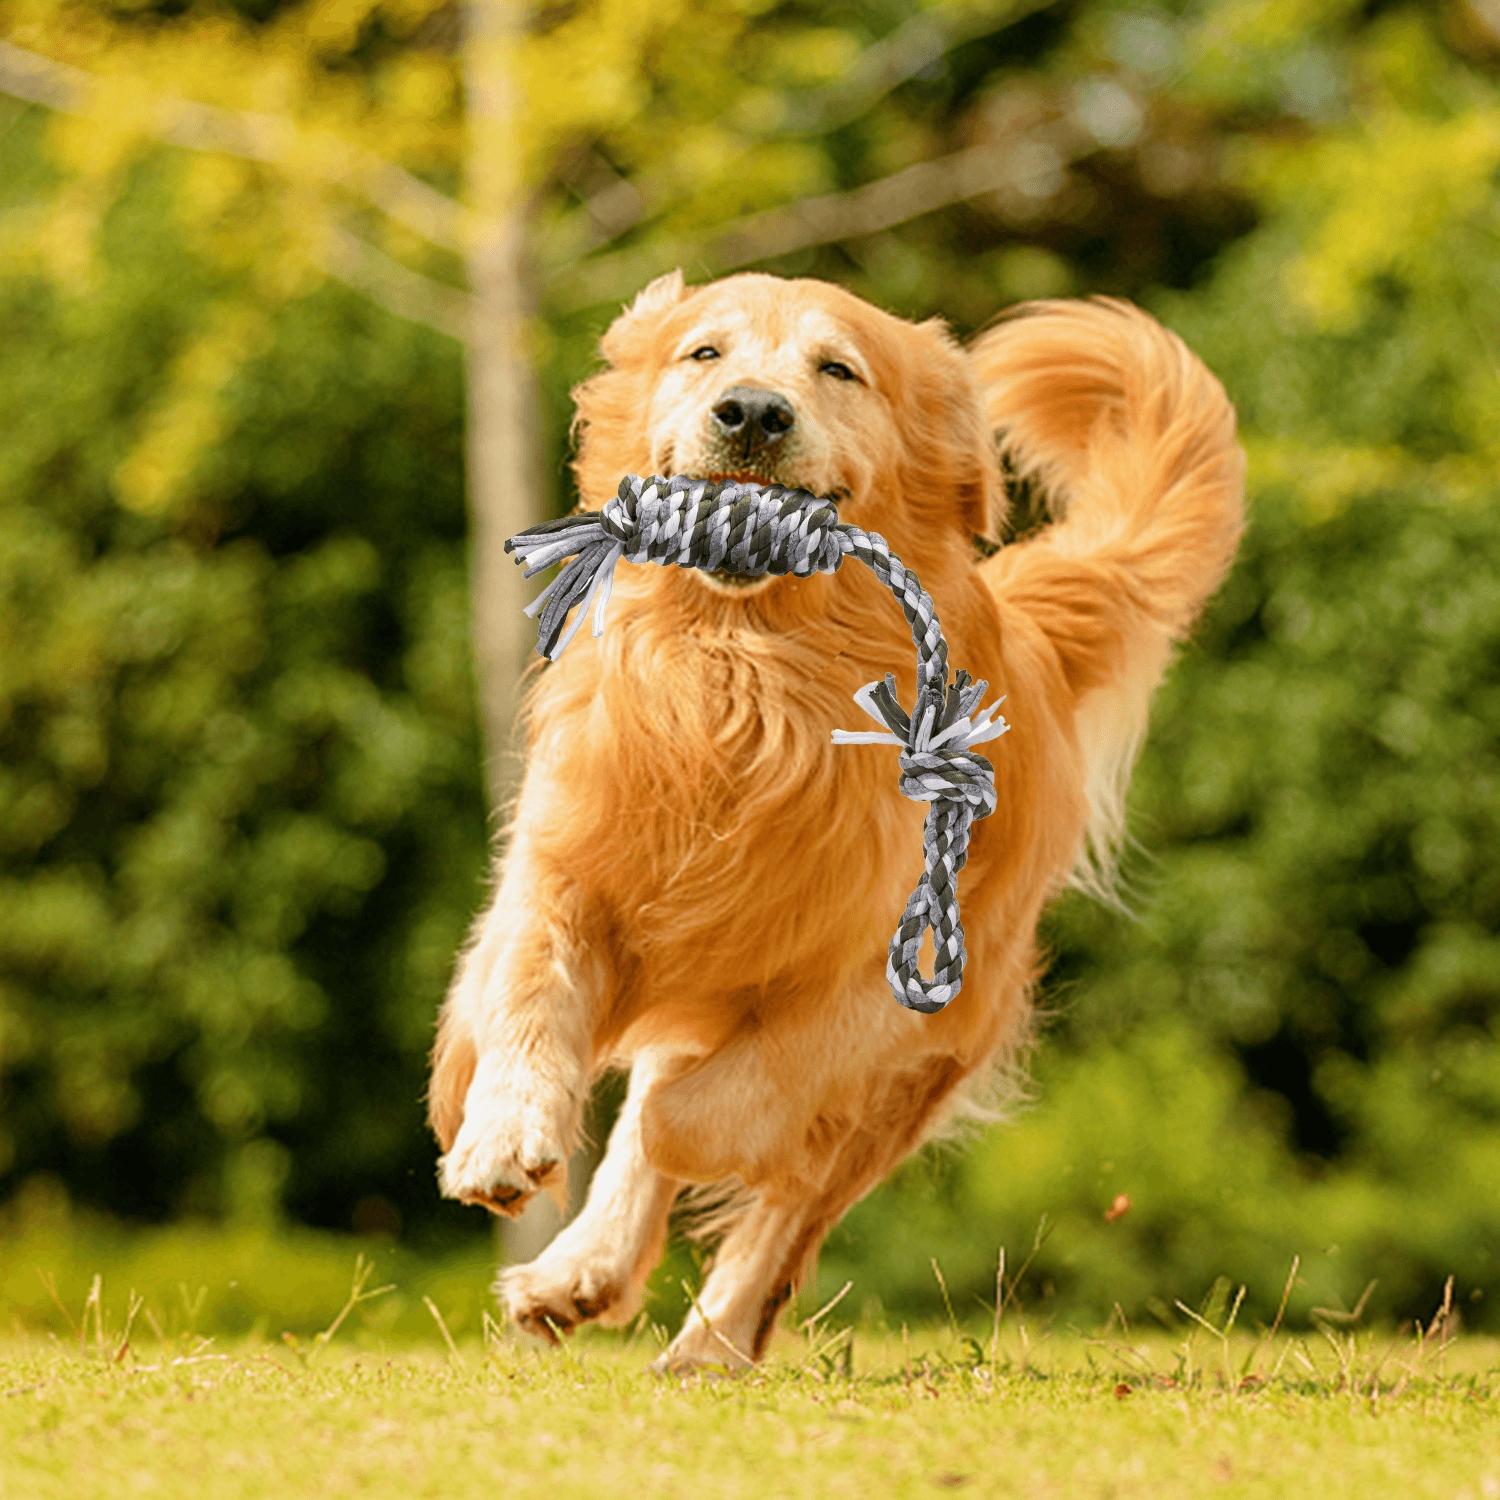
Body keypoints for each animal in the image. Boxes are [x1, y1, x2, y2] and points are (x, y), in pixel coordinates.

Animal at [426, 270, 1242, 1374]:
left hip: (921, 1061)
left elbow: (710, 1110)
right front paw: (499, 1138)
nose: (752, 414)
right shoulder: (562, 868)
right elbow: (529, 999)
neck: (743, 680)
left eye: (838, 369)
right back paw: (579, 1272)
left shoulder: (884, 994)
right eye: (704, 353)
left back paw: (707, 1341)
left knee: (789, 1203)